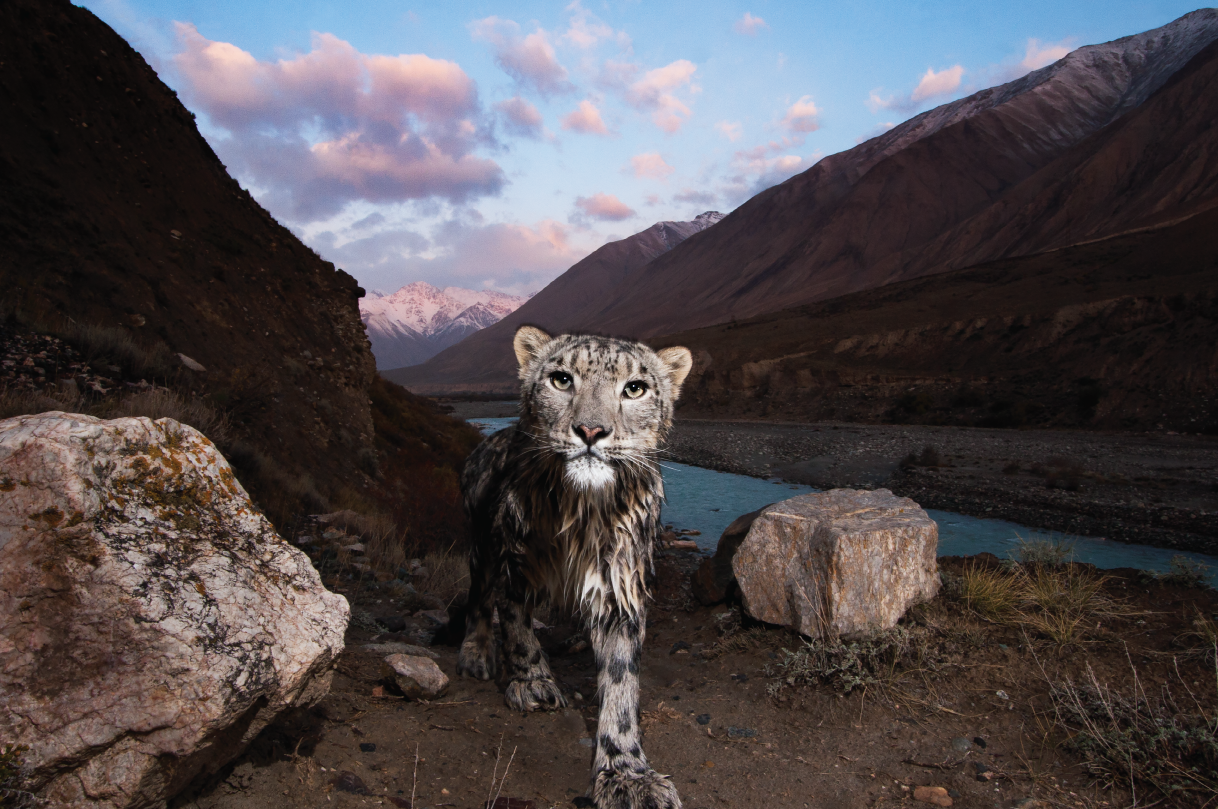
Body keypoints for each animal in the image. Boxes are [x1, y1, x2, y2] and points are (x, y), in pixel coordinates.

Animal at [458, 325, 692, 809]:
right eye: (561, 379)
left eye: (635, 388)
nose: (590, 430)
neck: (581, 514)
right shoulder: (514, 567)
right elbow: (517, 627)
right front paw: (533, 682)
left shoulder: (621, 588)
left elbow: (621, 682)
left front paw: (626, 773)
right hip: (483, 547)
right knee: (478, 599)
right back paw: (475, 653)